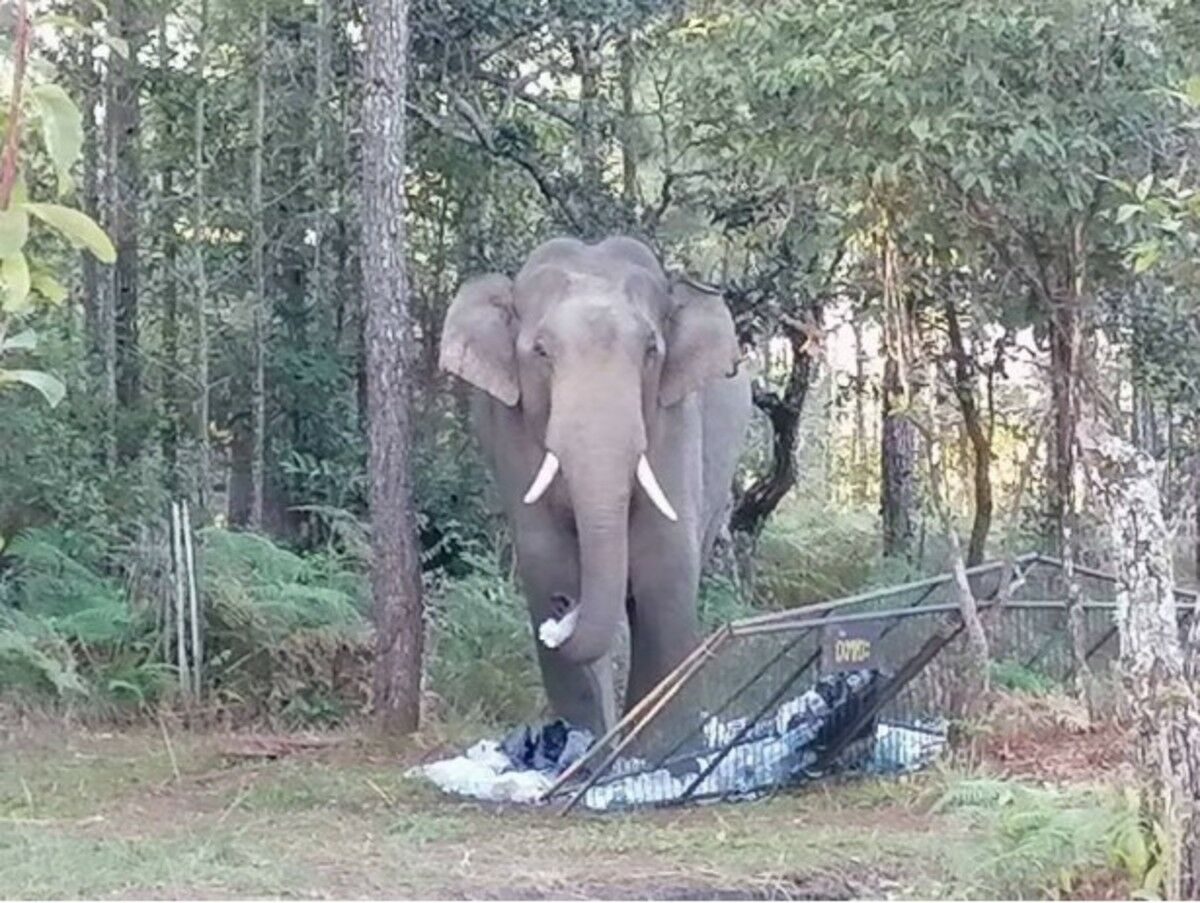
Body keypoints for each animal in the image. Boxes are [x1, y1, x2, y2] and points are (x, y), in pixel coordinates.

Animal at [441, 236, 748, 734]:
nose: (565, 605)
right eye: (541, 352)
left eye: (651, 350)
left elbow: (665, 576)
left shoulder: (676, 422)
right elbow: (546, 561)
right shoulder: (511, 433)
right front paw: (586, 740)